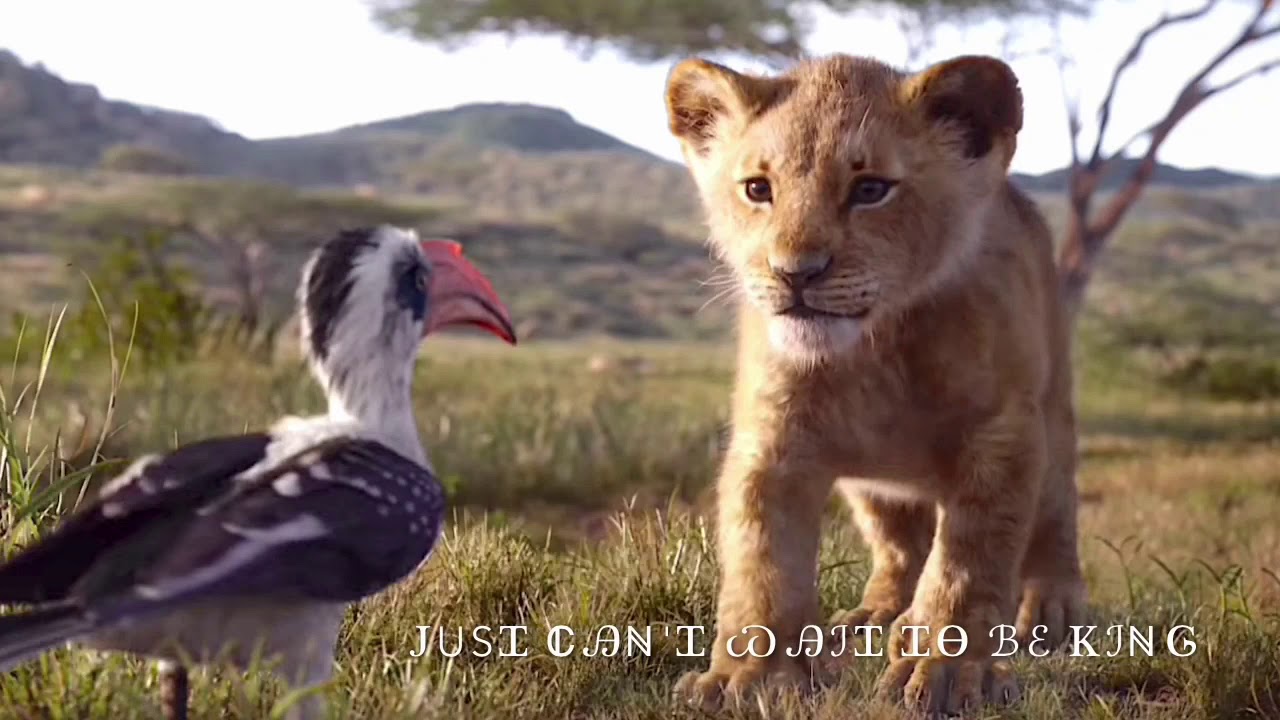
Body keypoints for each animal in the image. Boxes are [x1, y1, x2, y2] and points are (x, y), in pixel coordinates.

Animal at [662, 53, 1086, 714]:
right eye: (758, 188)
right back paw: (876, 615)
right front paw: (747, 679)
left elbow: (968, 564)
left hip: (1054, 411)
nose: (795, 274)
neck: (874, 348)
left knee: (1056, 509)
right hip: (871, 486)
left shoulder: (1001, 435)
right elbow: (763, 561)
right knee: (899, 548)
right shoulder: (772, 443)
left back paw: (1051, 608)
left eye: (869, 190)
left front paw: (944, 672)